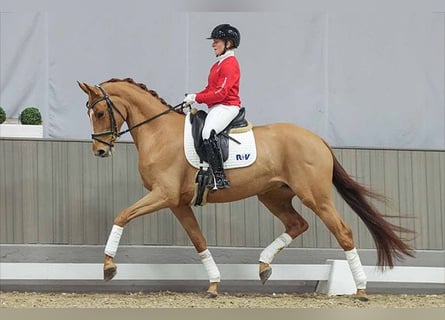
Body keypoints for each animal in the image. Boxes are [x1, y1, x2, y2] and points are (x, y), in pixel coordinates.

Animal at [77, 77, 412, 300]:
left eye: (100, 113)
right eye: (90, 113)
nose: (99, 151)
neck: (158, 133)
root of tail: (318, 139)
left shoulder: (163, 195)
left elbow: (122, 215)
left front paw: (108, 266)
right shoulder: (178, 203)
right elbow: (198, 240)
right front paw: (213, 285)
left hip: (315, 196)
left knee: (343, 231)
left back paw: (361, 289)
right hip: (273, 195)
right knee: (297, 224)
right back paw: (263, 266)